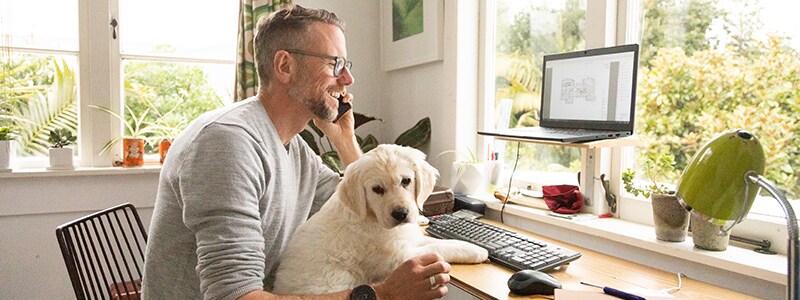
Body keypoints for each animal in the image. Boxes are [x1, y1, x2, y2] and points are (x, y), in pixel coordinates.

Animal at [274, 144, 488, 294]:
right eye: (377, 189)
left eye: (406, 181)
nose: (401, 214)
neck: (372, 218)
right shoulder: (398, 258)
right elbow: (438, 247)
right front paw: (477, 251)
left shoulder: (407, 239)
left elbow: (435, 241)